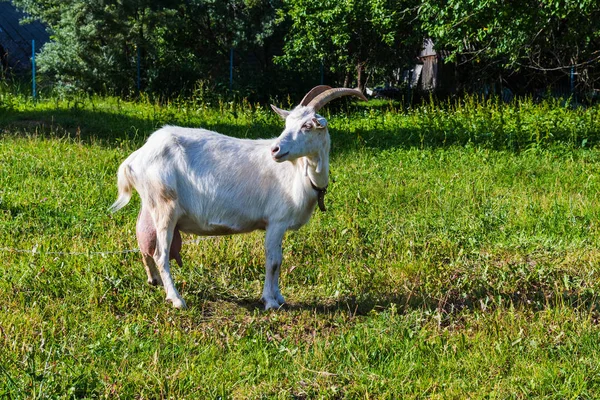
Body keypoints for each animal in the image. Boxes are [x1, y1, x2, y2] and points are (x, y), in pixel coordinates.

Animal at [110, 86, 368, 310]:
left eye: (307, 125)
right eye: (287, 124)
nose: (275, 150)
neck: (299, 173)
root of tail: (137, 156)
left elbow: (279, 259)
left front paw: (279, 297)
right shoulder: (276, 221)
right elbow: (274, 261)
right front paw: (270, 302)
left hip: (152, 204)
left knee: (145, 242)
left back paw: (153, 281)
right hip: (166, 208)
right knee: (161, 254)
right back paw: (176, 299)